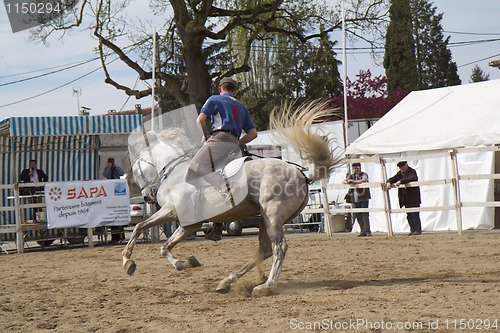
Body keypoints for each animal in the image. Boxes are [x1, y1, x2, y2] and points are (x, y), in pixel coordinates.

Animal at [125, 101, 344, 296]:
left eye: (135, 169)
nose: (146, 196)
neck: (176, 170)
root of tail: (303, 175)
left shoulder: (172, 212)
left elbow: (141, 229)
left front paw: (128, 261)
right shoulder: (189, 225)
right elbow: (163, 244)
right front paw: (185, 262)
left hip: (273, 215)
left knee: (278, 248)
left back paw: (266, 286)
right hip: (266, 218)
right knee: (264, 250)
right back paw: (227, 281)